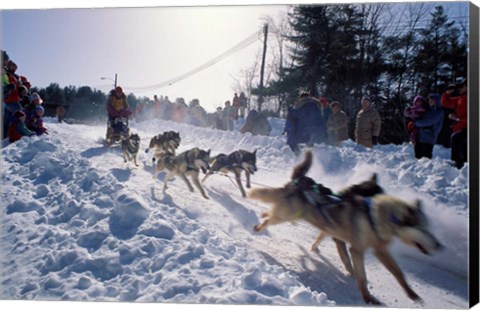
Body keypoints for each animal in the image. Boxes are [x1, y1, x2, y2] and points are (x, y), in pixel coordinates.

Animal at [249, 151, 444, 306]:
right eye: (423, 229)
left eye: (429, 228)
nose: (439, 245)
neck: (375, 218)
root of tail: (300, 181)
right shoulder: (356, 249)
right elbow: (361, 276)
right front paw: (367, 298)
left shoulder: (380, 250)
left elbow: (398, 273)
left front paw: (411, 293)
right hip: (286, 214)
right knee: (270, 212)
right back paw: (259, 224)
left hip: (290, 213)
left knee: (271, 209)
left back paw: (263, 216)